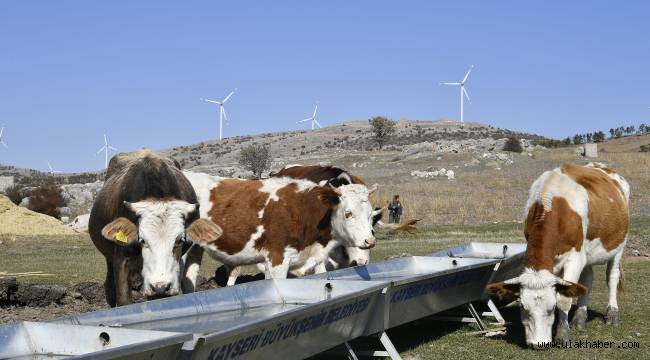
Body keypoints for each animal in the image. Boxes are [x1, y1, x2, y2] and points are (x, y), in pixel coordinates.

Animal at [88, 150, 221, 306]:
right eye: (142, 240)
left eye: (180, 240)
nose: (161, 286)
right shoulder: (121, 260)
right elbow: (123, 300)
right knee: (109, 286)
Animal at [486, 162, 628, 346]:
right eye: (523, 307)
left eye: (551, 308)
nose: (537, 344)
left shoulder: (574, 258)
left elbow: (565, 299)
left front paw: (562, 334)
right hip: (587, 254)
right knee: (587, 279)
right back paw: (579, 318)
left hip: (619, 244)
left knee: (612, 276)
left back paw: (612, 314)